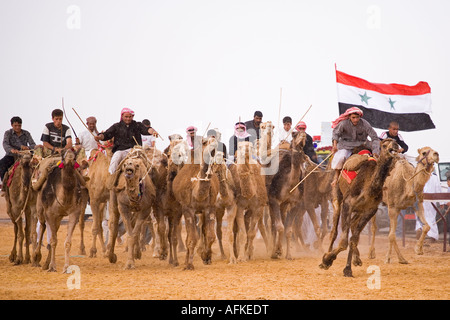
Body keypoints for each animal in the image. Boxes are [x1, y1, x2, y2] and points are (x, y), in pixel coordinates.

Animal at [172, 138, 220, 270]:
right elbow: (192, 238)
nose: (214, 141)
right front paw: (189, 265)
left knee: (202, 229)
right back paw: (182, 262)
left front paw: (206, 257)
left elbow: (210, 235)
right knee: (185, 235)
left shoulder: (210, 208)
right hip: (180, 209)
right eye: (204, 142)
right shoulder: (188, 210)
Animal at [318, 139, 400, 276]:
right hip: (336, 196)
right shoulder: (348, 204)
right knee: (334, 231)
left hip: (359, 211)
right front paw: (327, 260)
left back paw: (356, 259)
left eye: (396, 143)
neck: (368, 187)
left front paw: (347, 268)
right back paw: (325, 258)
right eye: (384, 145)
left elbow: (354, 238)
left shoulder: (370, 210)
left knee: (352, 226)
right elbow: (344, 241)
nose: (394, 146)